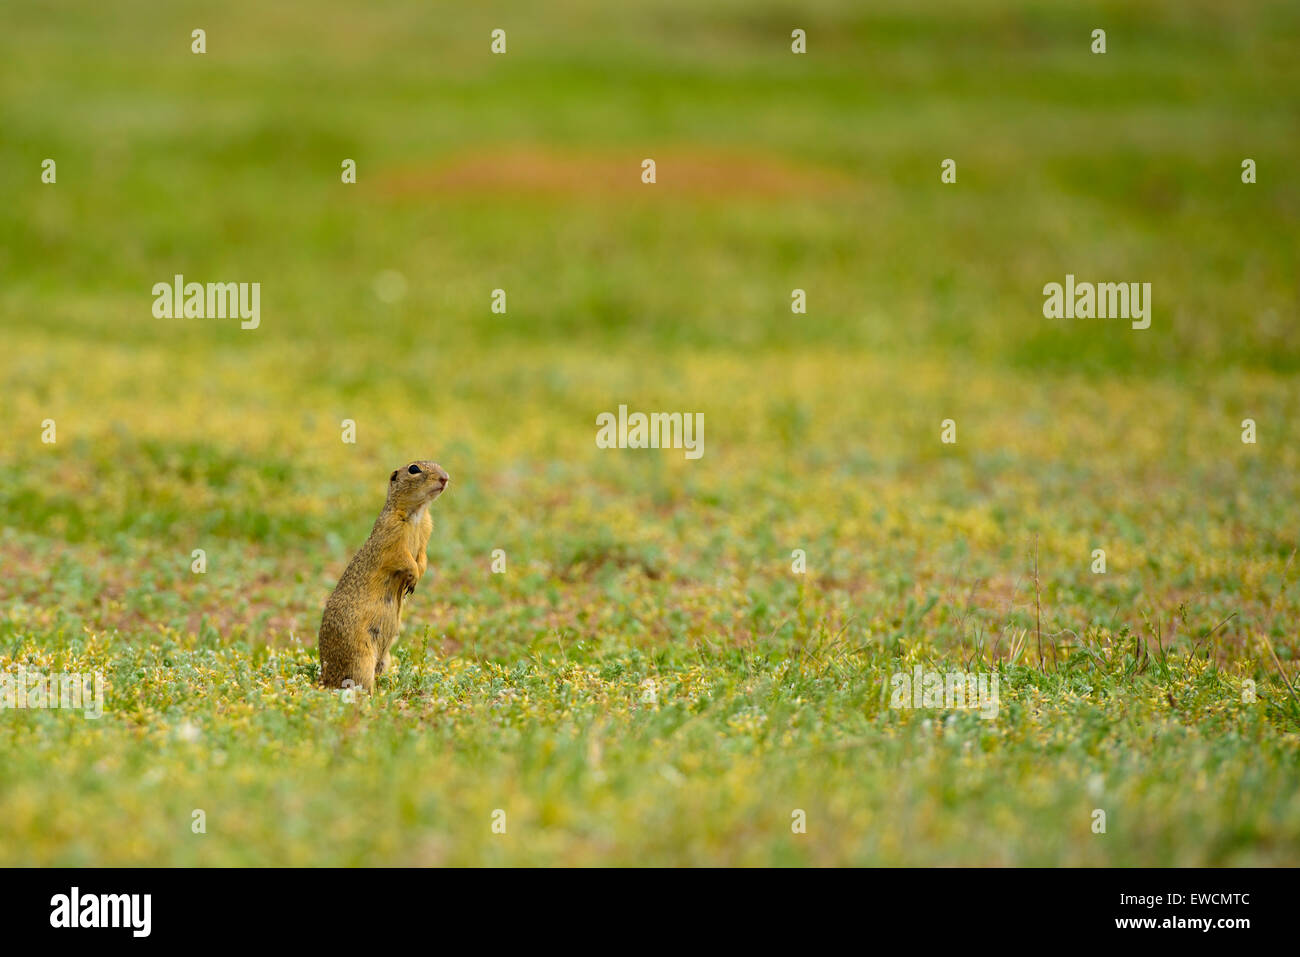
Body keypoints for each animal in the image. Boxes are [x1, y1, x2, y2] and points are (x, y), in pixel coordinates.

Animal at [317, 462, 449, 691]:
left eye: (439, 464)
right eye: (414, 469)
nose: (445, 478)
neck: (417, 513)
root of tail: (324, 677)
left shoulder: (425, 533)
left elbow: (423, 557)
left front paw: (417, 577)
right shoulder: (392, 537)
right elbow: (403, 558)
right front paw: (413, 576)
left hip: (384, 659)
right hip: (361, 659)